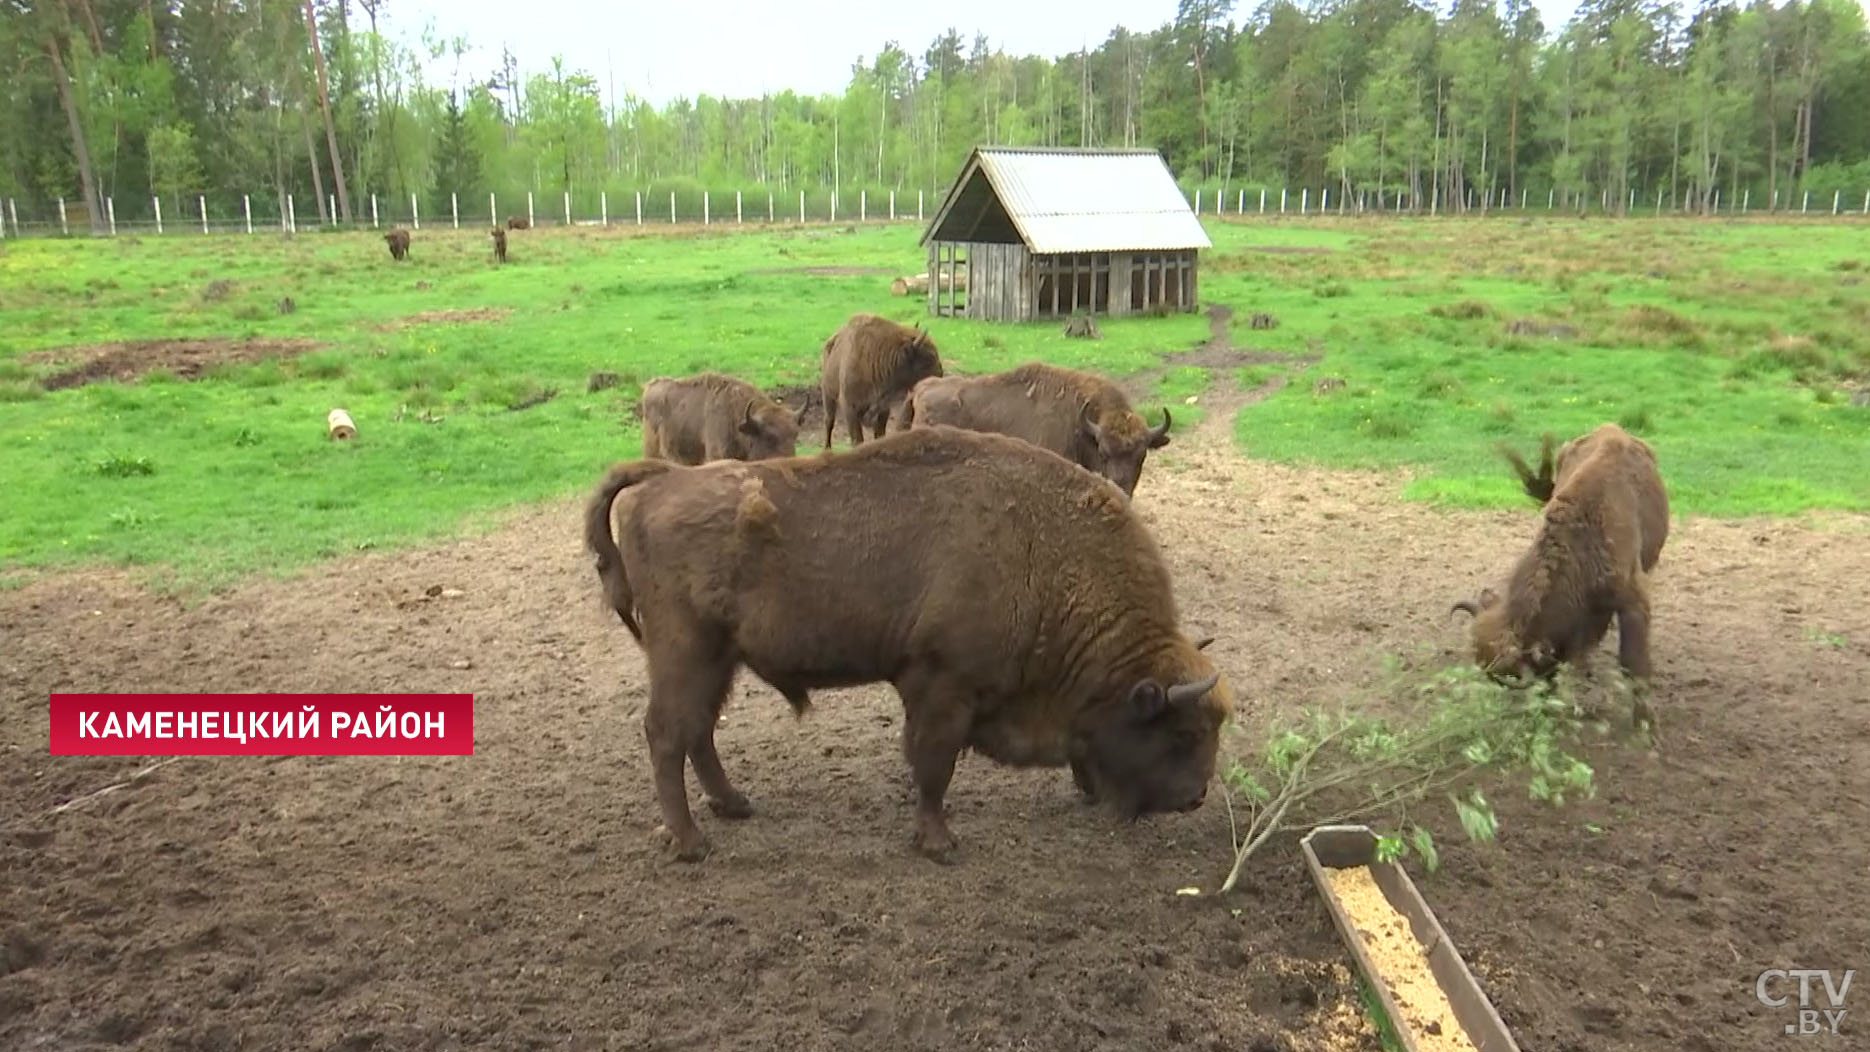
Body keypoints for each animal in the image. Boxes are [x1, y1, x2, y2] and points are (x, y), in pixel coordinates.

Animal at [579, 426, 1226, 863]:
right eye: (1183, 733)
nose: (1196, 797)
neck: (1045, 557)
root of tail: (664, 480)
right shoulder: (943, 686)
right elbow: (933, 766)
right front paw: (939, 843)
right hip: (685, 652)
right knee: (668, 734)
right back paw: (691, 842)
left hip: (719, 660)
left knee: (699, 732)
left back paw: (734, 804)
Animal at [819, 308, 942, 448]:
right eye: (929, 356)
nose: (940, 372)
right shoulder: (850, 407)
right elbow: (857, 439)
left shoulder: (883, 409)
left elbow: (880, 434)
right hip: (827, 395)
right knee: (829, 421)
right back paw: (827, 448)